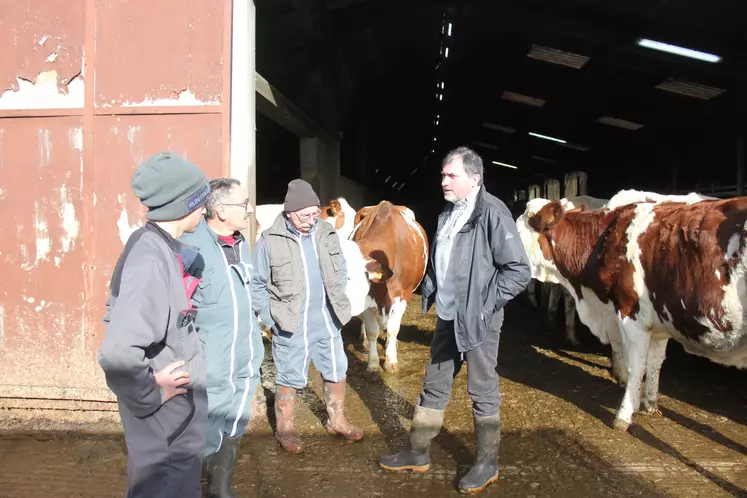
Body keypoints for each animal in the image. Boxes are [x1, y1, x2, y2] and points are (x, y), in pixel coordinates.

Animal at [350, 200, 426, 372]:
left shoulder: (403, 296)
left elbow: (393, 329)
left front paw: (391, 361)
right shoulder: (367, 301)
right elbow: (373, 331)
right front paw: (373, 364)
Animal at [516, 189, 744, 430]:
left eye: (516, 231)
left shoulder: (631, 313)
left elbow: (637, 364)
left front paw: (623, 415)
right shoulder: (659, 319)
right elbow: (655, 361)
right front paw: (650, 403)